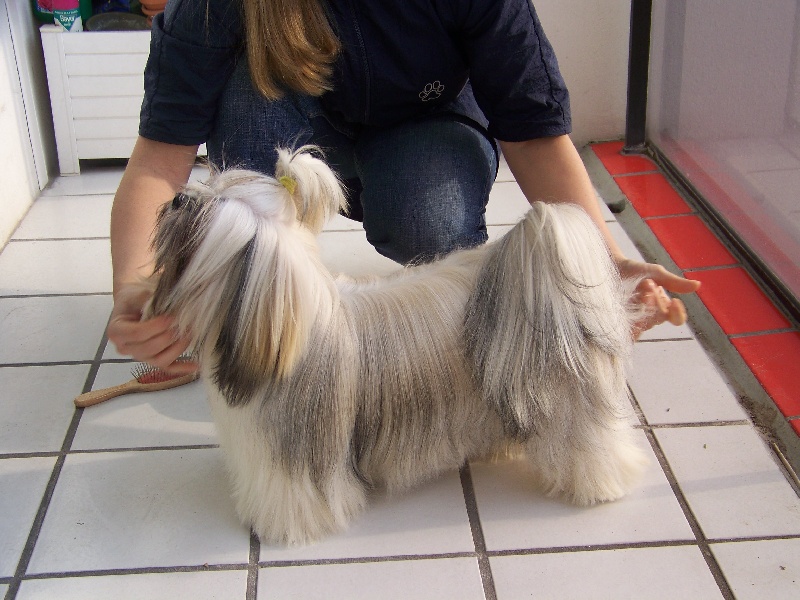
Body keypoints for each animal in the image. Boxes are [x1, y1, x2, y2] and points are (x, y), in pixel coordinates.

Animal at [145, 146, 648, 546]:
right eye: (206, 182)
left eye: (203, 216)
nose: (178, 197)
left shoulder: (295, 457)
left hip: (567, 403)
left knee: (587, 440)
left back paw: (598, 483)